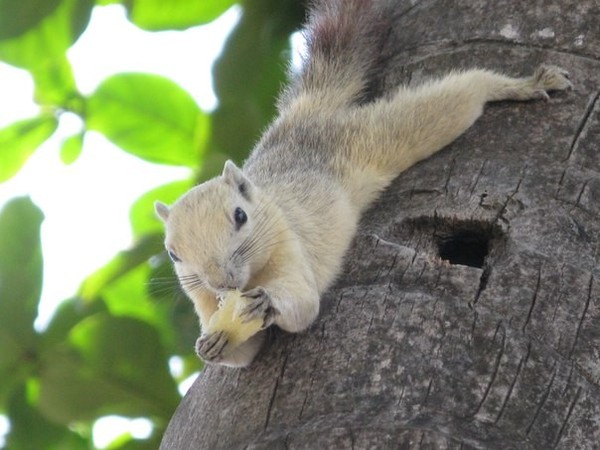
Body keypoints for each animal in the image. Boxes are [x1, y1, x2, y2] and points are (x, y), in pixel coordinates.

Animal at [154, 0, 572, 366]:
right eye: (173, 254)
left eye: (240, 217)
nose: (222, 282)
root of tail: (302, 115)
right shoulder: (202, 298)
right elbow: (244, 353)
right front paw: (209, 345)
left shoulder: (290, 244)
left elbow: (304, 305)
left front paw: (267, 302)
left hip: (382, 134)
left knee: (460, 94)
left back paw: (522, 84)